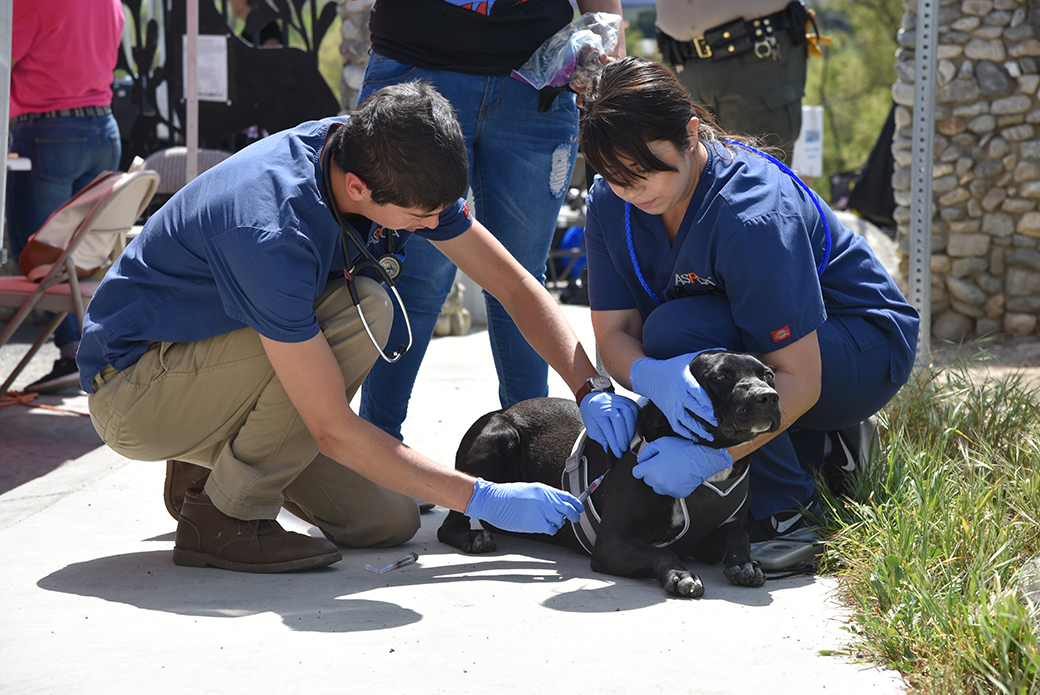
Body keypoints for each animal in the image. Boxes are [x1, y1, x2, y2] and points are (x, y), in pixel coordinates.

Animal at [434, 349, 782, 599]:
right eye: (721, 375)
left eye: (768, 375)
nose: (768, 396)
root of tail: (502, 409)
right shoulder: (613, 542)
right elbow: (663, 553)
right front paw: (680, 574)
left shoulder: (715, 535)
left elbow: (739, 538)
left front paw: (745, 564)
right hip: (498, 436)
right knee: (451, 520)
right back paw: (474, 537)